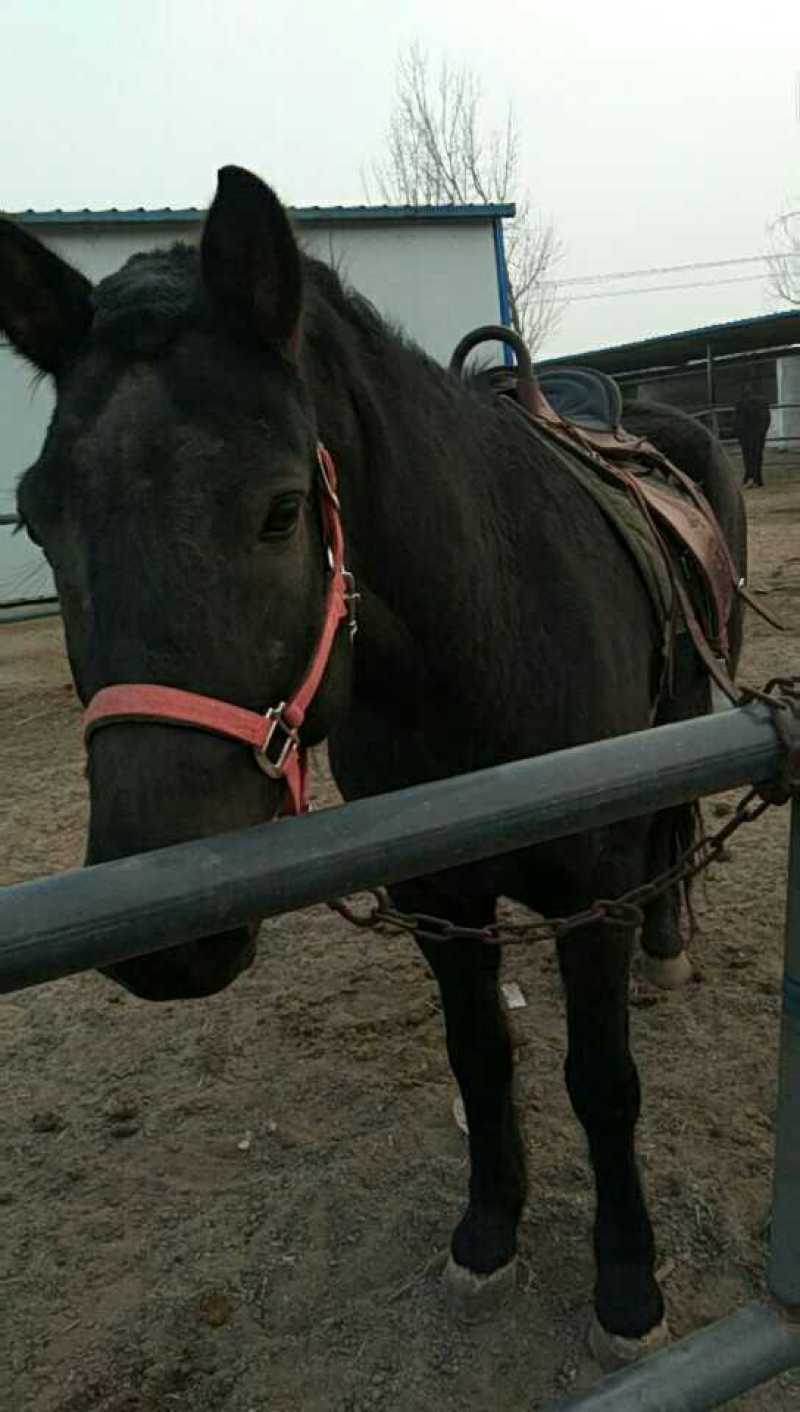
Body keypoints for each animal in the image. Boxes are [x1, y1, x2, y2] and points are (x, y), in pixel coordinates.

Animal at [0, 165, 746, 1367]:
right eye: (36, 516)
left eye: (281, 508)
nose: (168, 938)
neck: (488, 631)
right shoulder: (434, 895)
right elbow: (479, 1055)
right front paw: (487, 1232)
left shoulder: (588, 890)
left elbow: (602, 1083)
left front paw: (627, 1285)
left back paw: (666, 944)